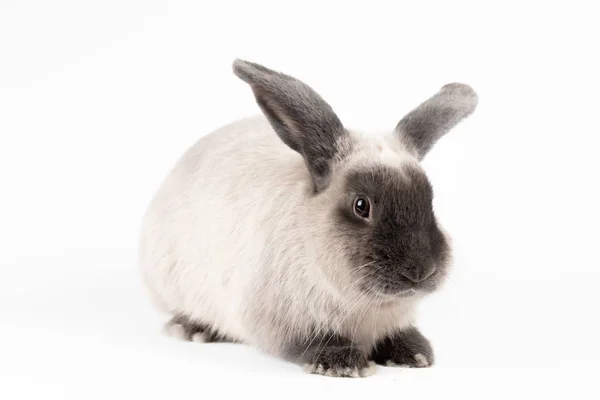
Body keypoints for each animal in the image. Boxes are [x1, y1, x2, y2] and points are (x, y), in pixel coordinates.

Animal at [137, 59, 478, 378]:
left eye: (430, 201)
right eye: (361, 205)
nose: (421, 270)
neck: (365, 308)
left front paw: (414, 354)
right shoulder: (277, 323)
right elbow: (308, 343)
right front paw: (344, 363)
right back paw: (193, 329)